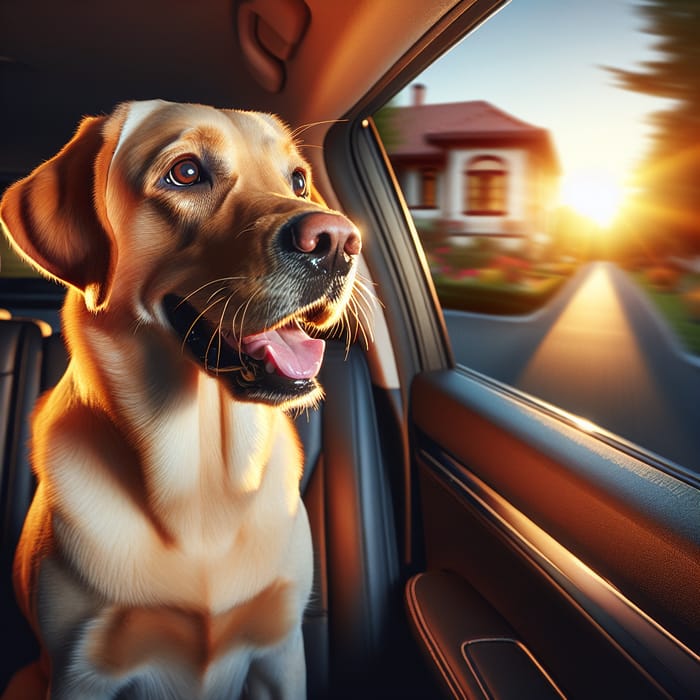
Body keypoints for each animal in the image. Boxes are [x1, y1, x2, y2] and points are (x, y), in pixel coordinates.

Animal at [0, 100, 360, 700]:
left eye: (298, 180)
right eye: (186, 172)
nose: (336, 241)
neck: (203, 485)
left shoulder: (282, 652)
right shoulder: (80, 673)